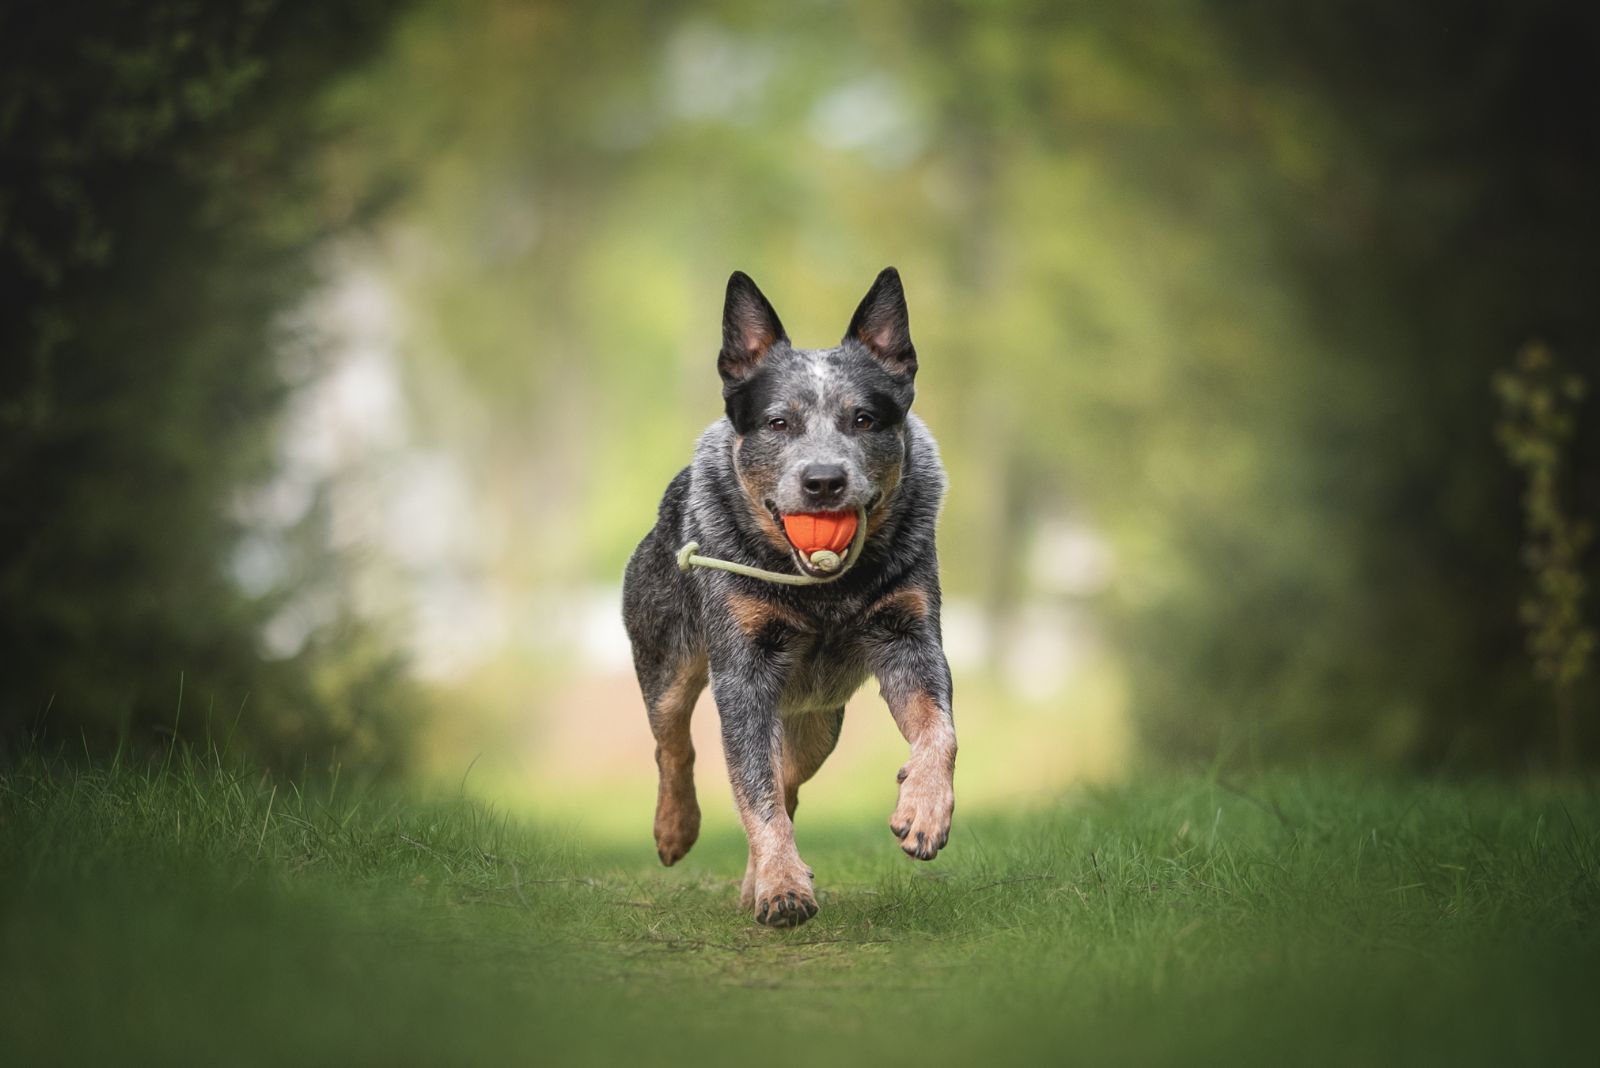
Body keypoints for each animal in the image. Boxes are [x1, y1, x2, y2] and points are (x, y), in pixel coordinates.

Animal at [620, 265, 947, 927]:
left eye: (863, 419)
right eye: (778, 423)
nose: (823, 481)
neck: (824, 593)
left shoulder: (909, 633)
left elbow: (939, 729)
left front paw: (924, 811)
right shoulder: (744, 673)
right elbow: (754, 788)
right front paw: (782, 889)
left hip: (819, 720)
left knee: (791, 779)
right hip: (666, 659)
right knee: (675, 745)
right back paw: (676, 831)